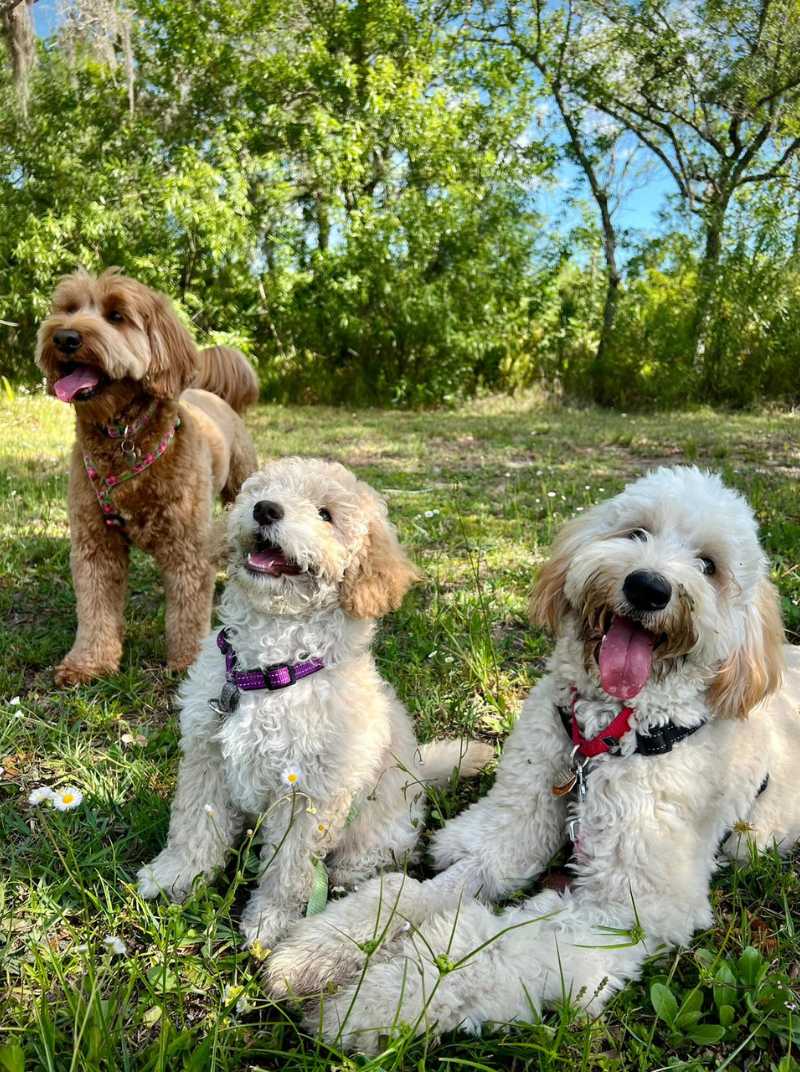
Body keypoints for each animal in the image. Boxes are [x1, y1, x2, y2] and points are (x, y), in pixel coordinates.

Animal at [35, 268, 258, 686]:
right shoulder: (95, 543)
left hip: (241, 484)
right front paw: (88, 663)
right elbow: (95, 607)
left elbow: (188, 611)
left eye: (116, 316)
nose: (64, 337)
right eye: (68, 309)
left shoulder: (188, 547)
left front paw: (189, 663)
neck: (124, 437)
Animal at [136, 458, 486, 947]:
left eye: (326, 514)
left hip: (382, 828)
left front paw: (270, 922)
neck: (271, 669)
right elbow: (193, 826)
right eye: (262, 490)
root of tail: (420, 770)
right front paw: (173, 876)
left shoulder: (311, 794)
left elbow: (289, 869)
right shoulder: (207, 758)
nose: (265, 509)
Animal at [265, 465, 797, 1050]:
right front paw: (323, 949)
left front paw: (377, 1000)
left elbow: (495, 950)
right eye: (637, 531)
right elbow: (418, 890)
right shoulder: (515, 834)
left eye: (709, 565)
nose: (648, 586)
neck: (602, 741)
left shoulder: (627, 910)